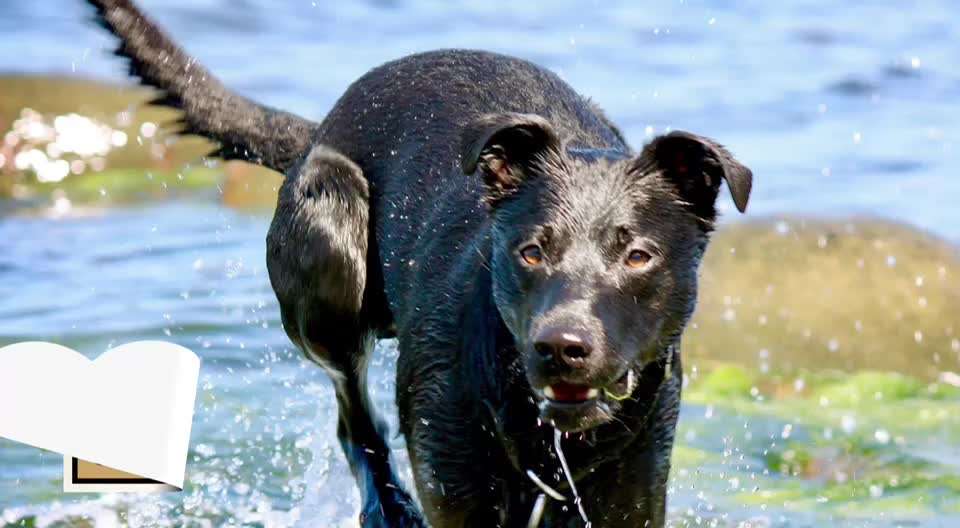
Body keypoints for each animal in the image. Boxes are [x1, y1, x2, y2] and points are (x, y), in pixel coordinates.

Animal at [88, 2, 752, 524]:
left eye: (638, 255)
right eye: (531, 251)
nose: (562, 346)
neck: (547, 439)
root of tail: (315, 131)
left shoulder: (636, 481)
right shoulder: (451, 474)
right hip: (330, 250)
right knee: (352, 412)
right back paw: (387, 507)